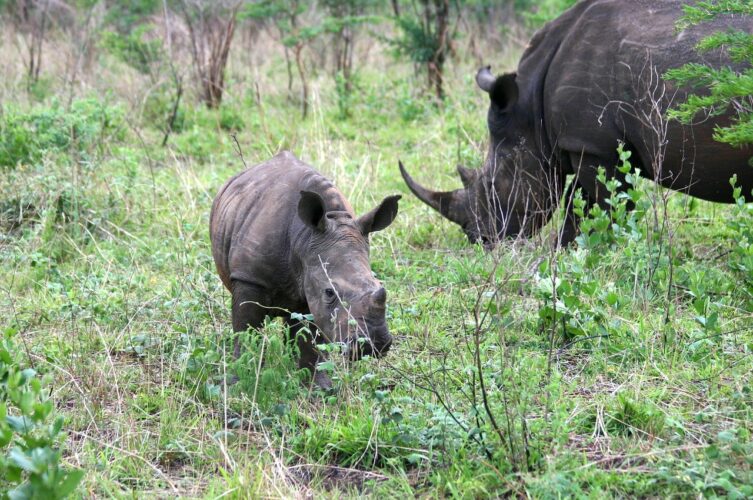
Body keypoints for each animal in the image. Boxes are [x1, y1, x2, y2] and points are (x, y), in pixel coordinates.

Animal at [210, 151, 400, 388]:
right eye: (329, 292)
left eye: (379, 285)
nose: (373, 345)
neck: (304, 239)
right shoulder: (249, 278)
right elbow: (246, 331)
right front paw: (238, 380)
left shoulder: (312, 284)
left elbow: (311, 338)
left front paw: (320, 387)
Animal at [400, 0, 753, 246]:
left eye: (495, 183)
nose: (480, 239)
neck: (530, 108)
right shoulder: (585, 144)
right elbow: (579, 205)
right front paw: (565, 253)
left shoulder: (594, 145)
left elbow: (605, 205)